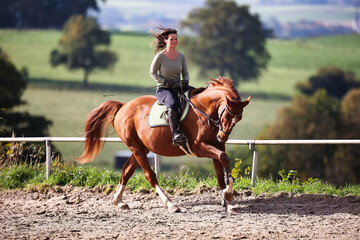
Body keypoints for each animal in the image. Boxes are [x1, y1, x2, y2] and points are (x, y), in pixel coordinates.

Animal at [76, 76, 250, 213]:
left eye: (239, 119)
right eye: (227, 115)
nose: (222, 137)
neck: (204, 111)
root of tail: (123, 106)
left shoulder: (216, 146)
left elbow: (221, 170)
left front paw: (228, 202)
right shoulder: (199, 148)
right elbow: (224, 157)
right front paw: (229, 194)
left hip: (142, 149)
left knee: (126, 170)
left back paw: (118, 201)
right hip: (136, 148)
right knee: (149, 175)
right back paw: (171, 204)